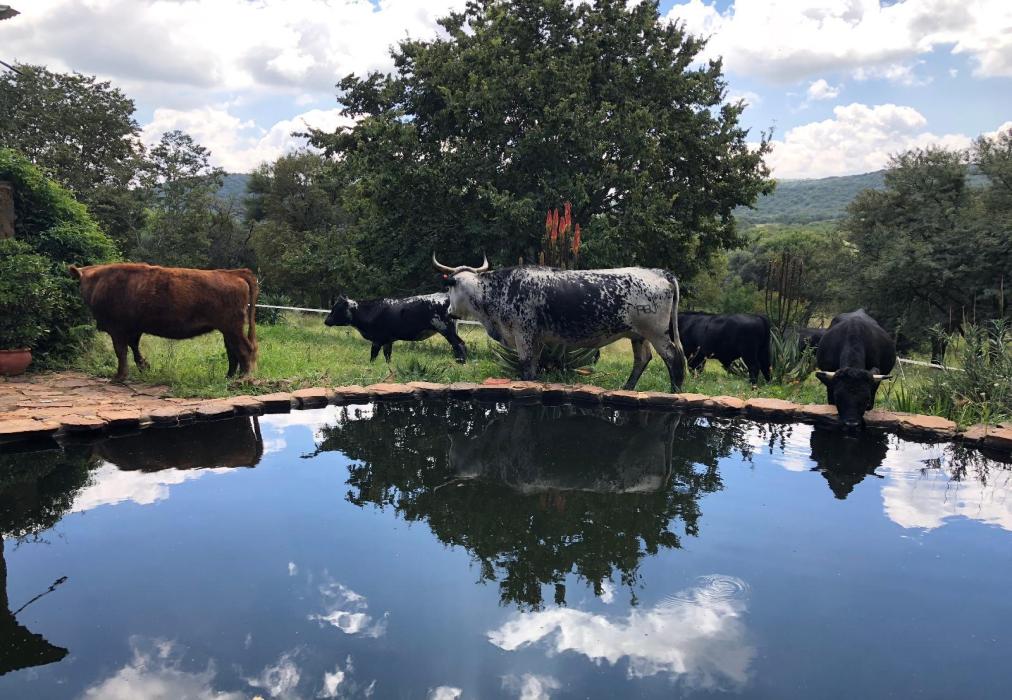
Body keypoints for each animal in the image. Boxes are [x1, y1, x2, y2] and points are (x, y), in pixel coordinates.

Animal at [68, 263, 258, 382]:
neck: (99, 281)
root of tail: (232, 273)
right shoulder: (133, 329)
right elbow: (133, 347)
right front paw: (144, 366)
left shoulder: (117, 329)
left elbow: (121, 352)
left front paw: (120, 376)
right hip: (228, 330)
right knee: (233, 352)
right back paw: (229, 377)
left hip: (232, 328)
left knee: (245, 349)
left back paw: (244, 378)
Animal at [324, 293, 467, 363]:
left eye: (337, 309)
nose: (326, 321)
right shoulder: (388, 340)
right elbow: (388, 356)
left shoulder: (378, 339)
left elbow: (373, 355)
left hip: (446, 329)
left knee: (459, 344)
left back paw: (461, 362)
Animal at [433, 255, 686, 391]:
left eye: (450, 287)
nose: (449, 311)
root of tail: (658, 272)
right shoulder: (535, 340)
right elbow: (533, 368)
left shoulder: (523, 335)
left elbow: (526, 367)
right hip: (638, 334)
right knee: (642, 359)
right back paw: (627, 389)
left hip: (657, 333)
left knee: (673, 358)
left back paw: (674, 390)